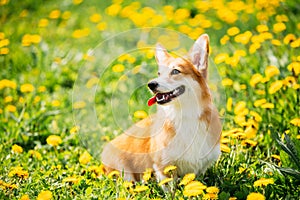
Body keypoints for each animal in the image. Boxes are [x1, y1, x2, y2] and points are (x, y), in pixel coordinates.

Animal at [102, 34, 221, 181]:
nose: (151, 84)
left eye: (175, 71)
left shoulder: (200, 167)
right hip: (124, 171)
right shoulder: (163, 166)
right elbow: (170, 185)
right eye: (159, 73)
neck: (184, 115)